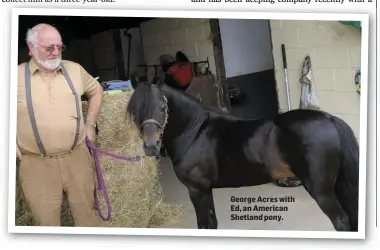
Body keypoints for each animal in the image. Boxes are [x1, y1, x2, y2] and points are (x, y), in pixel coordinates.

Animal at [126, 74, 360, 232]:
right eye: (135, 110)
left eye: (162, 107)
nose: (151, 146)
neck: (194, 131)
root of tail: (329, 118)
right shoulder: (205, 190)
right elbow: (212, 224)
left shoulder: (196, 191)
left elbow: (204, 225)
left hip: (321, 190)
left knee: (341, 222)